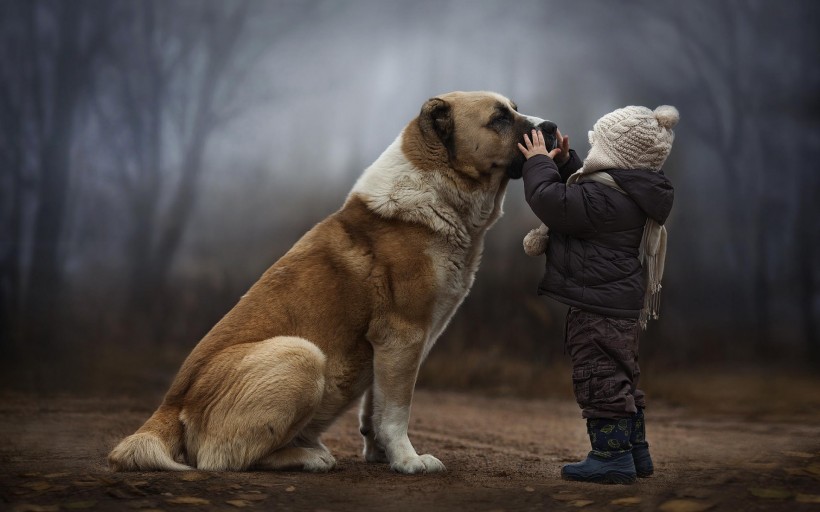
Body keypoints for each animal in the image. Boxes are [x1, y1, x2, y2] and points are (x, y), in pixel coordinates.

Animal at [109, 91, 556, 476]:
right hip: (301, 354)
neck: (438, 189)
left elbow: (375, 407)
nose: (551, 127)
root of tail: (169, 407)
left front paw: (382, 455)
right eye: (499, 118)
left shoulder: (389, 347)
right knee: (223, 459)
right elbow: (397, 410)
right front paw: (409, 461)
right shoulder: (404, 335)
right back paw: (309, 457)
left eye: (516, 109)